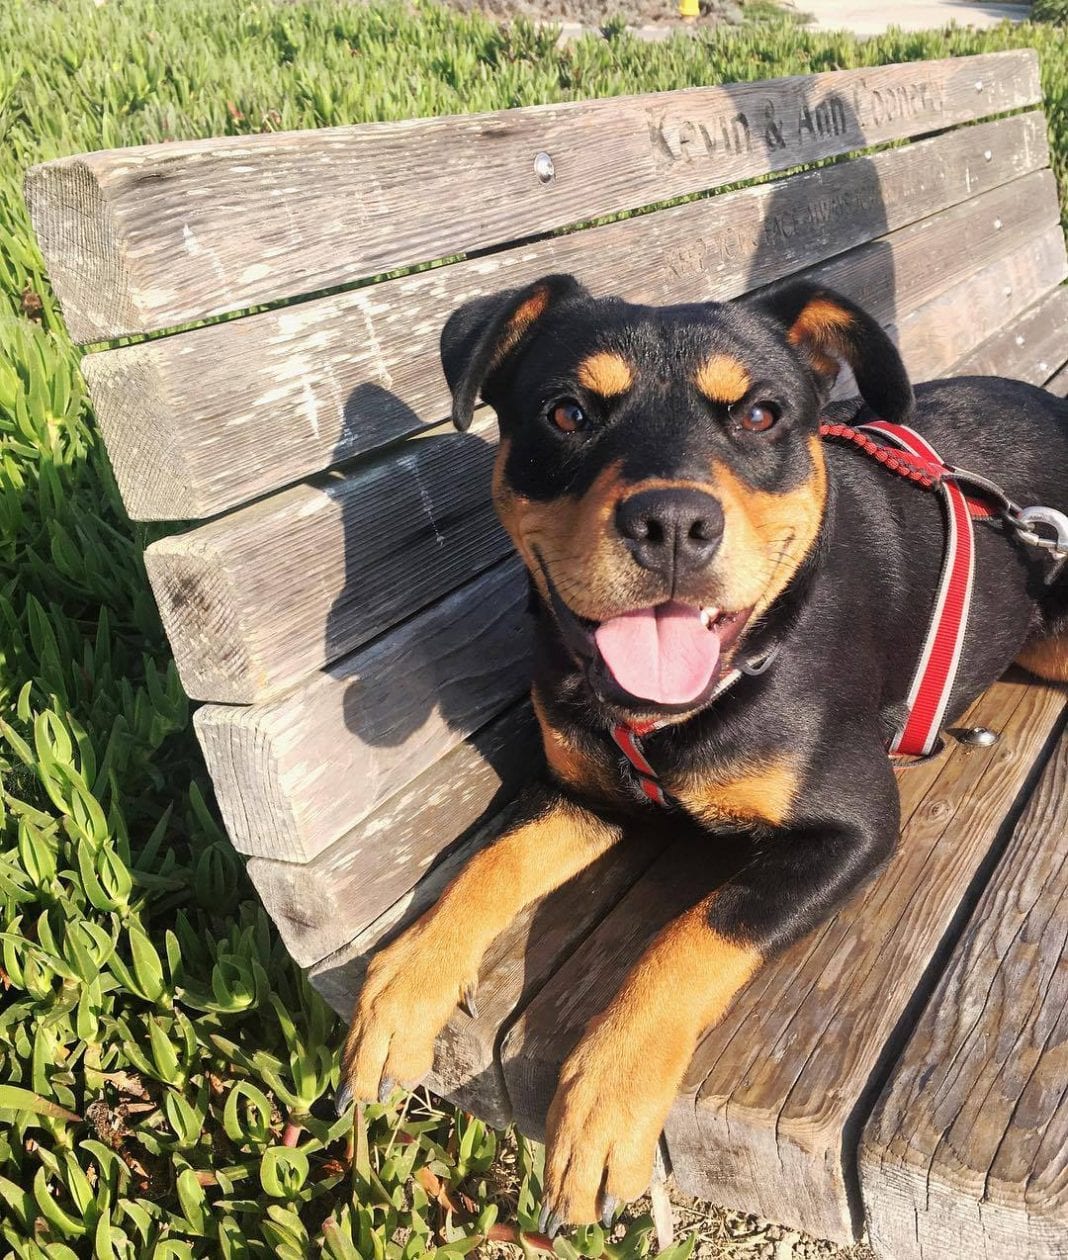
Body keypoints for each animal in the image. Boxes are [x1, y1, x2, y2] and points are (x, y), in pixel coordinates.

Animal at [340, 273, 1068, 1229]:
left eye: (760, 414)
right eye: (568, 412)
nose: (673, 522)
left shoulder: (852, 829)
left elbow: (694, 934)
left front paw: (607, 1101)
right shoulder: (580, 793)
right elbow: (489, 865)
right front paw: (401, 990)